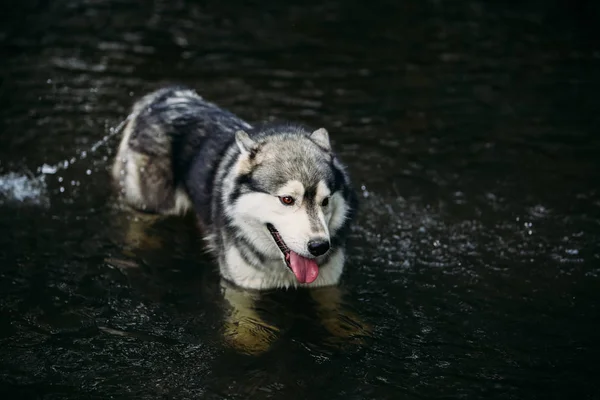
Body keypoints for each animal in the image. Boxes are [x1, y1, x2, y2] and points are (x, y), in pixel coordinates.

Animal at [112, 86, 356, 290]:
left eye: (325, 201)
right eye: (287, 199)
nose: (319, 246)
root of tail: (165, 95)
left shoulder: (327, 287)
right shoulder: (240, 290)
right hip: (150, 205)